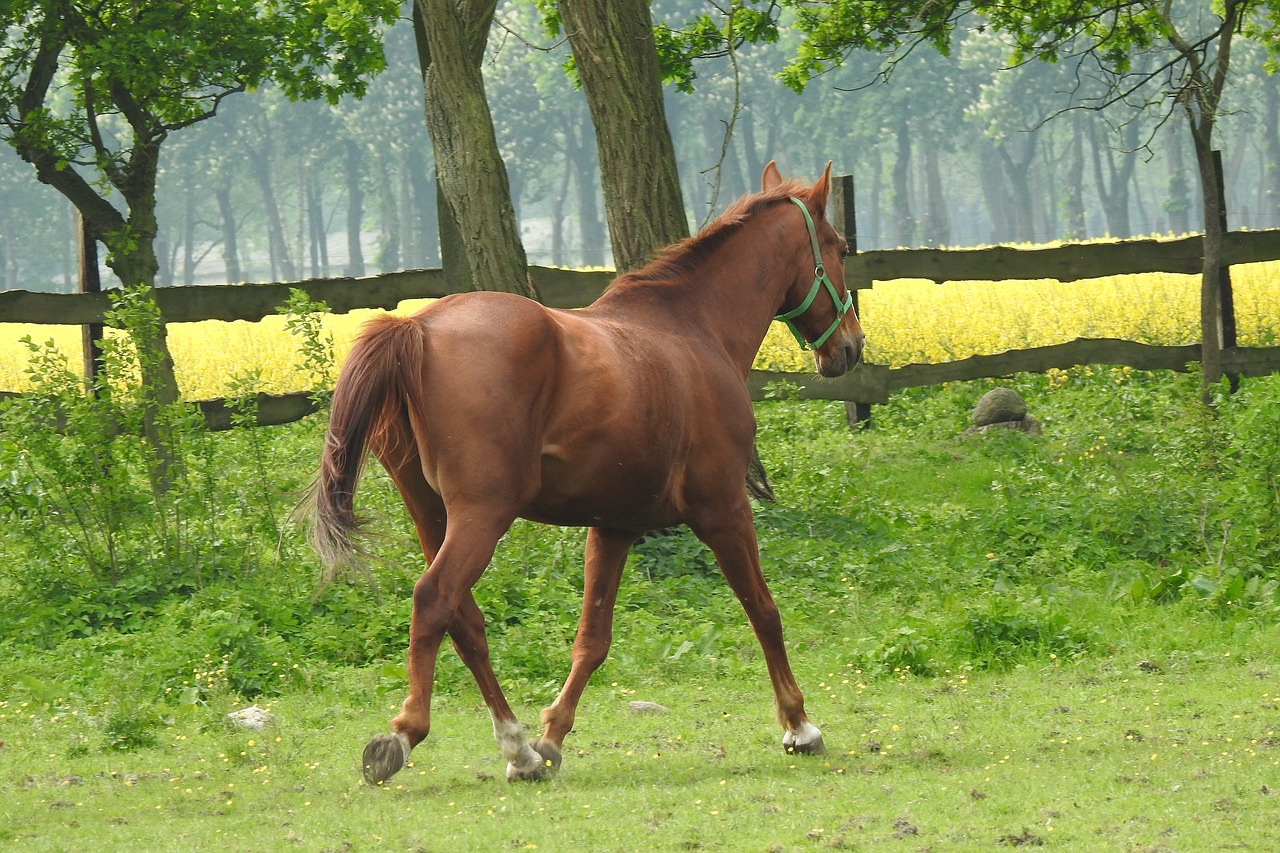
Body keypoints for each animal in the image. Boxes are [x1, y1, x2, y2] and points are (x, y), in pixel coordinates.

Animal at [311, 161, 865, 783]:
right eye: (840, 247)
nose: (851, 347)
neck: (694, 328)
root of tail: (418, 328)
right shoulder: (724, 509)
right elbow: (764, 611)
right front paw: (800, 726)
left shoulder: (614, 526)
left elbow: (592, 640)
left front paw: (552, 737)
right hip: (483, 513)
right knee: (435, 599)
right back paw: (404, 735)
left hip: (431, 514)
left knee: (463, 619)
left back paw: (520, 750)